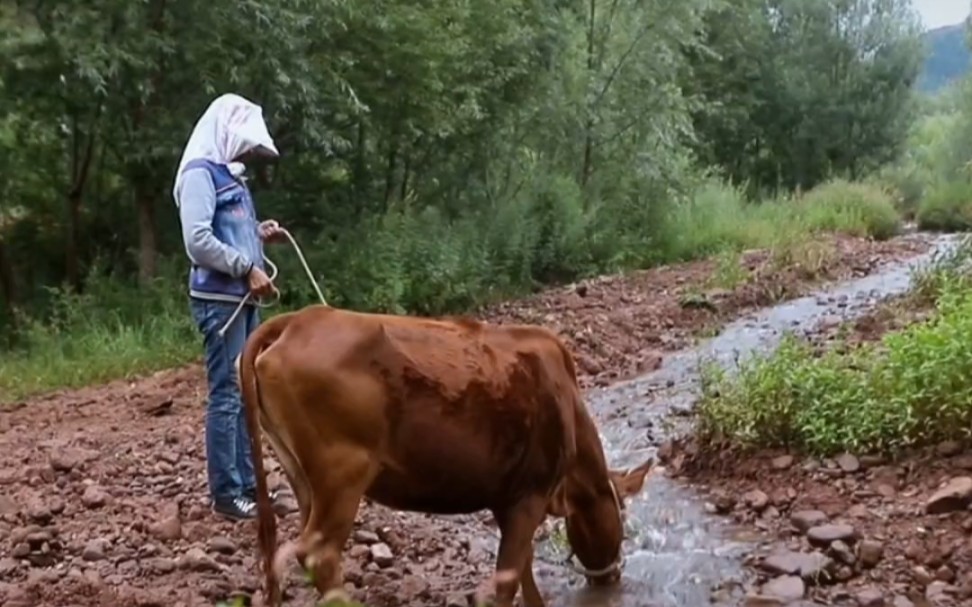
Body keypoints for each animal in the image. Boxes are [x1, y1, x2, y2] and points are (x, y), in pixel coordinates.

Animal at [238, 306, 648, 607]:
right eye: (623, 520)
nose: (614, 575)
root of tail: (299, 318)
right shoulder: (531, 493)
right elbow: (508, 578)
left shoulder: (509, 499)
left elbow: (524, 569)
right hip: (344, 474)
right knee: (318, 554)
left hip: (302, 477)